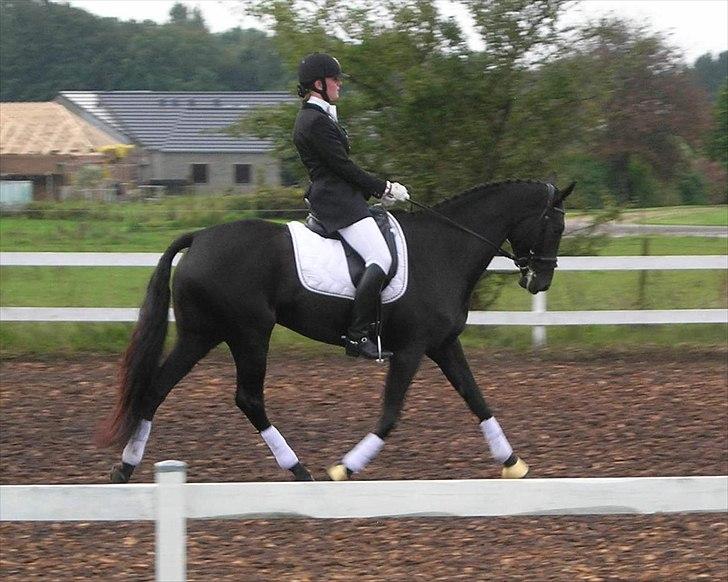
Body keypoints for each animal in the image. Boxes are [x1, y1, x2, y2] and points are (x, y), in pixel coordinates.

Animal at [98, 181, 576, 484]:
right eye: (556, 226)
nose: (540, 281)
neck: (445, 249)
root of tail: (199, 238)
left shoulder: (442, 344)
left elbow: (477, 399)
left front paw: (513, 462)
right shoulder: (412, 349)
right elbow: (390, 414)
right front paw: (345, 467)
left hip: (201, 334)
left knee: (155, 388)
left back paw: (126, 468)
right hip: (249, 333)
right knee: (247, 398)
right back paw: (299, 469)